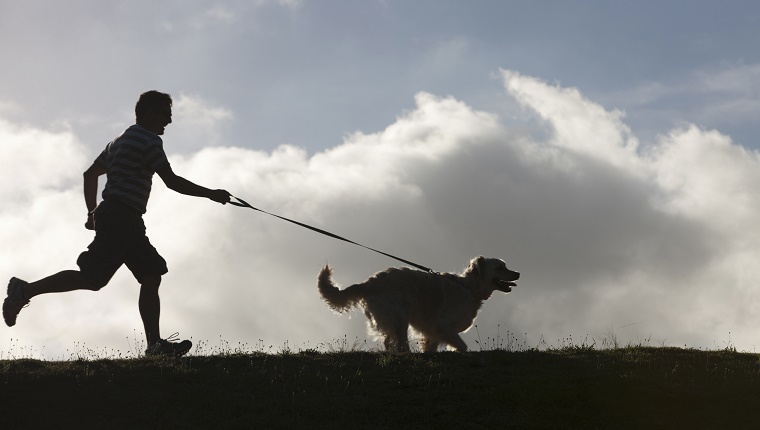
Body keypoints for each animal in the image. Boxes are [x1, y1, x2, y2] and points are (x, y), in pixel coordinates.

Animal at [318, 255, 520, 352]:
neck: (469, 288)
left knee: (389, 342)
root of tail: (369, 282)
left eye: (505, 266)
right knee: (400, 344)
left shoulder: (432, 333)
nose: (518, 273)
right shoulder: (443, 327)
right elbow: (463, 347)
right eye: (500, 267)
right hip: (400, 317)